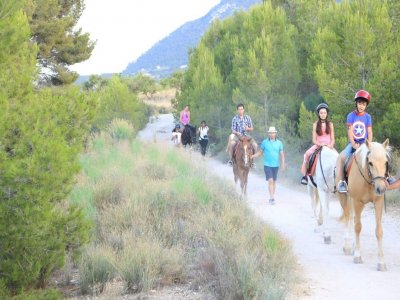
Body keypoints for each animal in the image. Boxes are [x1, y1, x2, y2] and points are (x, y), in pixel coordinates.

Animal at [336, 139, 390, 270]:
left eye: (386, 162)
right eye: (370, 163)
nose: (381, 189)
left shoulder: (378, 202)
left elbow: (379, 231)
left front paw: (381, 262)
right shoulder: (357, 201)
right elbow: (358, 227)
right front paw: (357, 256)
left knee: (353, 218)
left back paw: (353, 245)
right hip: (344, 197)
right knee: (348, 217)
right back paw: (347, 246)